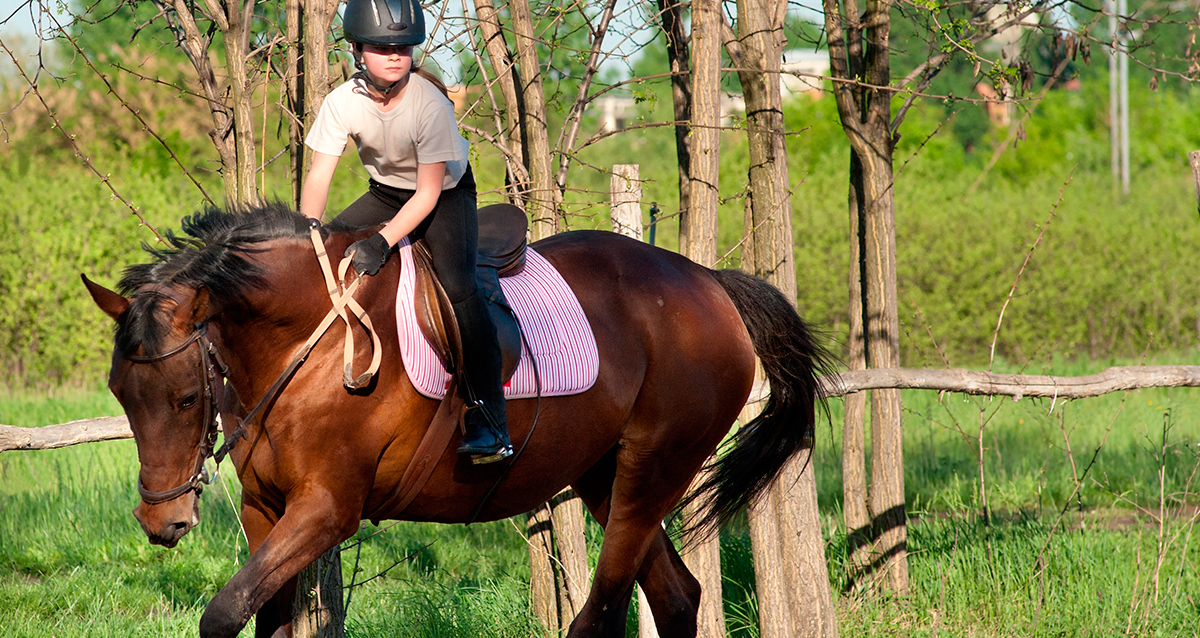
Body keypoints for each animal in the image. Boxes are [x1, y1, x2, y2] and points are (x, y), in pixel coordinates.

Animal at [84, 203, 830, 638]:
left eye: (185, 399)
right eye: (121, 393)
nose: (160, 521)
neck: (306, 344)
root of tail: (706, 281)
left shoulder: (325, 510)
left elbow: (221, 615)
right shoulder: (266, 511)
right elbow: (257, 617)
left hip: (654, 470)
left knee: (603, 615)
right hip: (607, 477)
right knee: (675, 597)